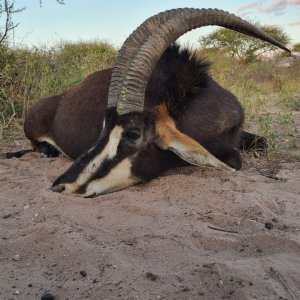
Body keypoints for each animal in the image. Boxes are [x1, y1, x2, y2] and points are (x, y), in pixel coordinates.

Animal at [22, 8, 290, 196]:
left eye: (132, 134)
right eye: (103, 128)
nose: (60, 186)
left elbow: (260, 144)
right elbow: (233, 160)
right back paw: (46, 151)